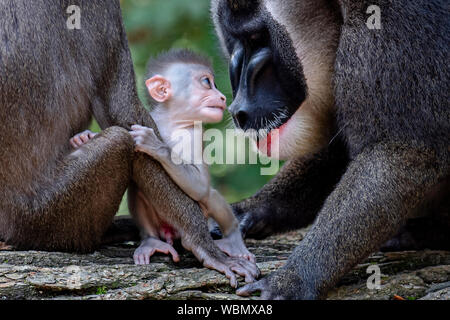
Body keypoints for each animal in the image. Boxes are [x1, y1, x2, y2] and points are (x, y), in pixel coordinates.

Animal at [70, 48, 253, 266]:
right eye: (207, 82)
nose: (222, 97)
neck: (171, 121)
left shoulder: (193, 134)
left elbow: (200, 186)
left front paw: (156, 145)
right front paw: (83, 137)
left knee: (209, 195)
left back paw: (232, 237)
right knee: (138, 188)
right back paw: (150, 241)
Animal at [212, 0, 450, 298]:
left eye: (258, 38)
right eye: (237, 42)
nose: (239, 111)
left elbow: (403, 152)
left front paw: (294, 278)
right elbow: (337, 149)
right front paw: (245, 211)